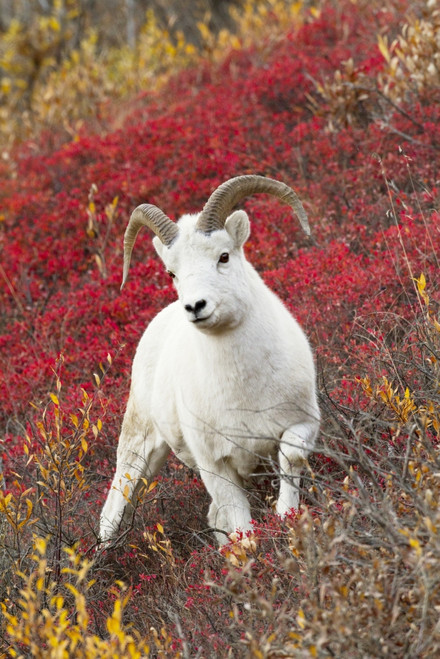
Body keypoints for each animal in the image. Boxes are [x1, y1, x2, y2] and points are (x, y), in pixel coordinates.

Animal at [100, 175, 320, 545]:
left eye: (224, 256)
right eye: (172, 273)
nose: (195, 306)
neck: (245, 394)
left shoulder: (301, 424)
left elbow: (291, 457)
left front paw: (285, 517)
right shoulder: (215, 464)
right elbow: (242, 524)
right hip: (137, 451)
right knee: (112, 514)